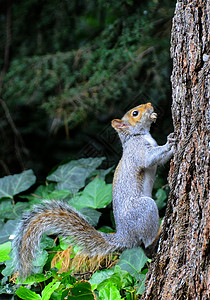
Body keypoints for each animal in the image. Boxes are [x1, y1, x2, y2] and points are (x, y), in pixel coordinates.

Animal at [11, 102, 176, 276]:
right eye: (135, 113)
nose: (150, 105)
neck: (136, 136)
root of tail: (125, 236)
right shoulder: (137, 151)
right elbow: (150, 159)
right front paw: (170, 142)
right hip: (144, 209)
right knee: (148, 242)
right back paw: (159, 231)